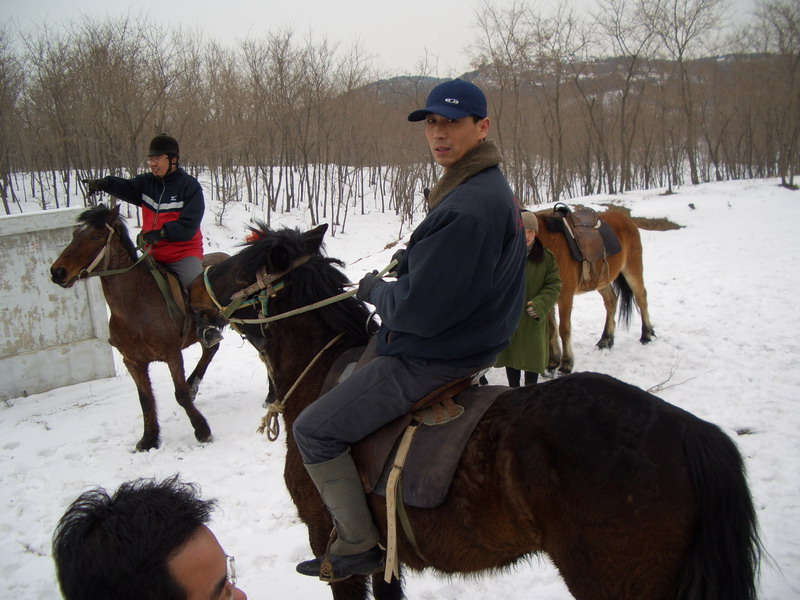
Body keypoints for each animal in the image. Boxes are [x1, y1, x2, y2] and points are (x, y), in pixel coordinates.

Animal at [50, 205, 227, 450]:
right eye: (76, 234)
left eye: (96, 236)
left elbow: (179, 394)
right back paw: (193, 384)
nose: (57, 272)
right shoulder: (133, 362)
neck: (136, 305)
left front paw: (202, 431)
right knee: (209, 350)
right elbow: (145, 399)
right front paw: (149, 438)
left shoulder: (172, 354)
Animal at [536, 209, 656, 372]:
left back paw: (646, 334)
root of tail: (626, 219)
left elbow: (564, 329)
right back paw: (606, 340)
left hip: (632, 268)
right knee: (611, 301)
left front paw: (566, 364)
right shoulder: (546, 296)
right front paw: (553, 362)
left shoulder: (565, 296)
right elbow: (551, 329)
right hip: (602, 280)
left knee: (641, 297)